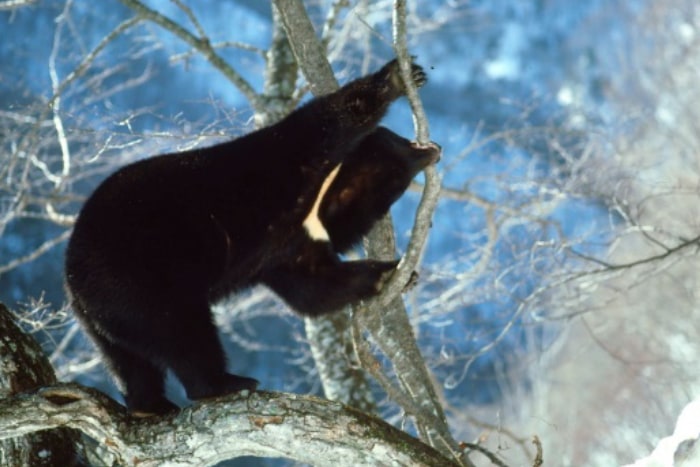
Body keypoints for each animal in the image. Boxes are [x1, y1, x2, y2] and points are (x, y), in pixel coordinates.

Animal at [64, 59, 438, 416]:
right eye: (400, 140)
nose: (433, 147)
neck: (319, 199)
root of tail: (74, 279)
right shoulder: (279, 175)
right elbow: (318, 125)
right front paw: (399, 76)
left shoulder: (289, 248)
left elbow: (316, 287)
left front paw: (394, 274)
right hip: (141, 276)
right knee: (183, 333)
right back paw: (224, 382)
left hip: (101, 319)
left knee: (128, 359)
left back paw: (148, 405)